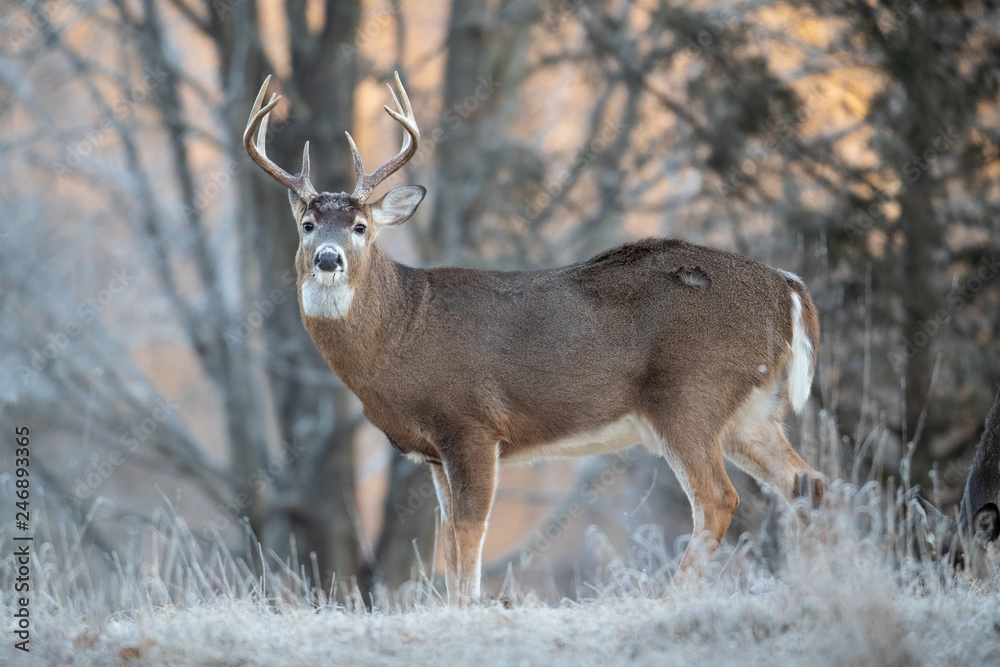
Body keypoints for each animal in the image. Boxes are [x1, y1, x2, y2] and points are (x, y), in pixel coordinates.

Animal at [244, 72, 824, 603]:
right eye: (308, 225)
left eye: (361, 227)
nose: (328, 259)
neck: (402, 331)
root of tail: (788, 287)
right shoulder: (433, 452)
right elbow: (447, 540)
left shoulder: (472, 423)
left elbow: (467, 534)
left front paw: (467, 609)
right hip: (751, 410)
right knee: (805, 482)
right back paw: (811, 584)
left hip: (691, 394)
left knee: (720, 499)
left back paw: (673, 600)